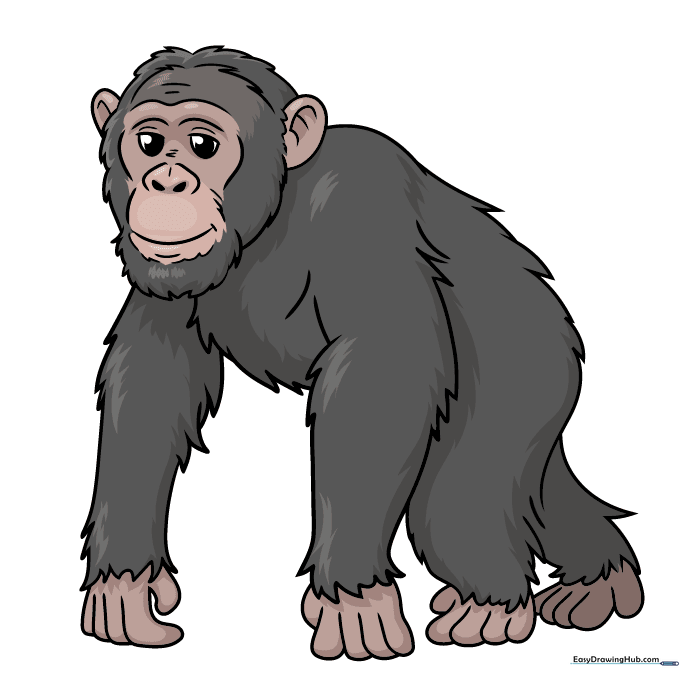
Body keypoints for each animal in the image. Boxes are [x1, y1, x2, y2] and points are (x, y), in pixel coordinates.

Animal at [81, 46, 643, 658]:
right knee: (537, 493)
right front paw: (124, 584)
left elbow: (381, 375)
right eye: (149, 141)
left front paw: (354, 597)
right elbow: (153, 381)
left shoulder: (360, 205)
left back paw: (491, 603)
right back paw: (595, 581)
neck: (270, 220)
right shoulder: (166, 273)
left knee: (461, 498)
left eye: (203, 144)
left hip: (530, 365)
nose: (166, 181)